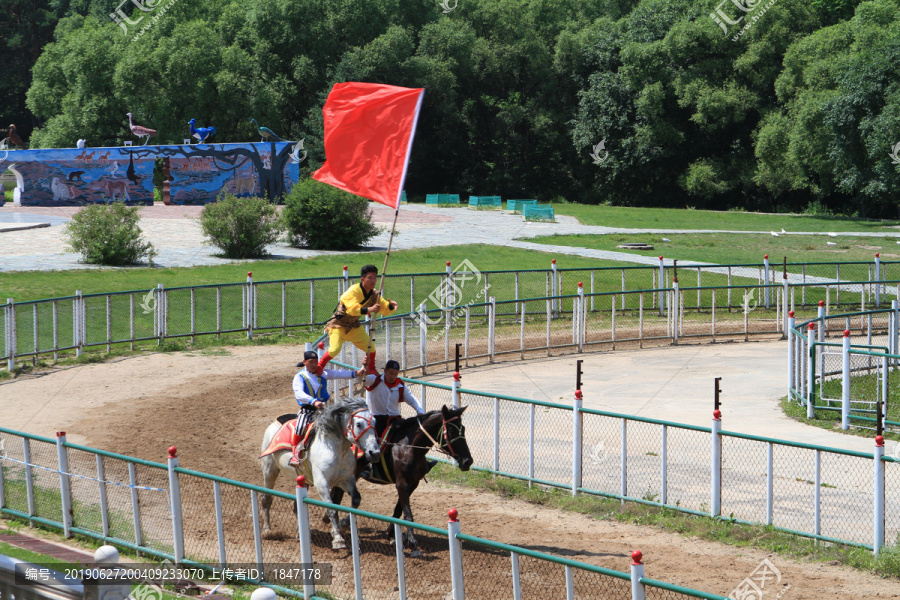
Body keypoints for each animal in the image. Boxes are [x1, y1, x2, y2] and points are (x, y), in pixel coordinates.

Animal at [258, 396, 378, 552]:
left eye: (375, 422)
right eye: (358, 424)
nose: (374, 452)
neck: (335, 450)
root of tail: (276, 421)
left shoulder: (346, 480)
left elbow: (355, 501)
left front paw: (353, 536)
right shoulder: (322, 483)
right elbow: (332, 509)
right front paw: (338, 539)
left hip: (302, 479)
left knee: (296, 506)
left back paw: (301, 533)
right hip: (270, 469)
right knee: (266, 498)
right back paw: (267, 530)